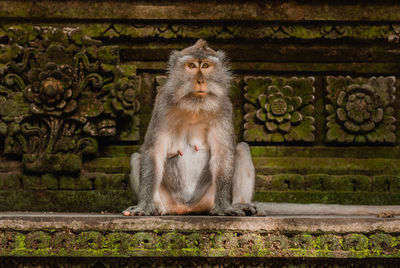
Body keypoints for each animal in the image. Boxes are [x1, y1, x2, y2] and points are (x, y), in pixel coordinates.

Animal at [122, 39, 256, 216]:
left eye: (205, 66)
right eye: (191, 66)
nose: (200, 81)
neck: (195, 107)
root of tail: (186, 208)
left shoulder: (224, 107)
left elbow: (223, 153)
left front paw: (224, 207)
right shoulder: (162, 105)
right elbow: (153, 152)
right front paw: (144, 206)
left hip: (207, 200)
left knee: (241, 149)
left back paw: (241, 204)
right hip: (170, 202)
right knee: (137, 158)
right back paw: (156, 208)